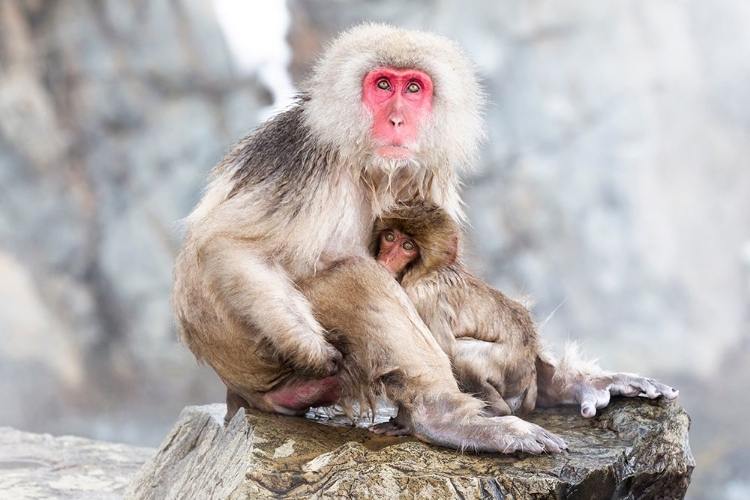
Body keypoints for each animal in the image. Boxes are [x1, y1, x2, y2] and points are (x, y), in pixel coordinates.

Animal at [372, 201, 540, 416]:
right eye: (390, 237)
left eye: (408, 246)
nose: (386, 259)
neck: (422, 273)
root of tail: (531, 366)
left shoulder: (423, 297)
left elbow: (440, 355)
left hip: (510, 370)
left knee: (461, 355)